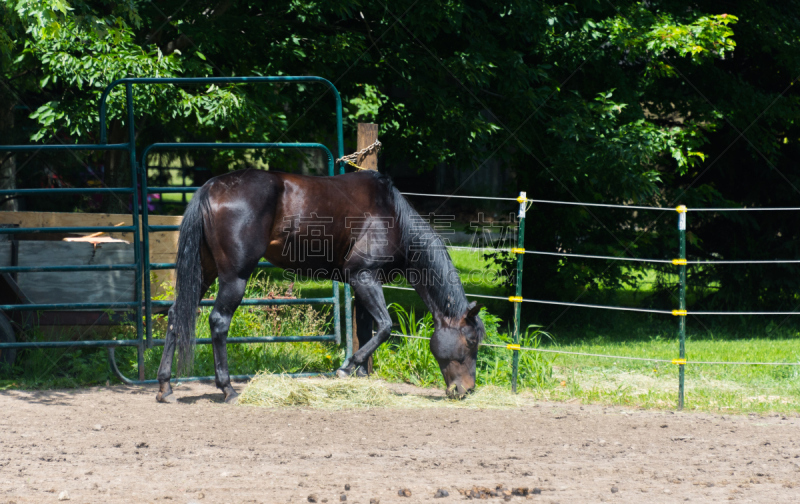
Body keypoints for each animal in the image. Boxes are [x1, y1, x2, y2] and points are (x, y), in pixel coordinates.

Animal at [155, 167, 482, 404]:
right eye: (471, 341)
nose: (467, 389)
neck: (392, 216)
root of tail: (210, 188)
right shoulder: (363, 276)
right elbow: (385, 327)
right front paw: (346, 368)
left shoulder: (362, 284)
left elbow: (368, 330)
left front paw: (360, 376)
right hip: (235, 277)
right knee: (219, 321)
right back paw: (228, 389)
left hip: (204, 273)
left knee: (175, 315)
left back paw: (165, 387)